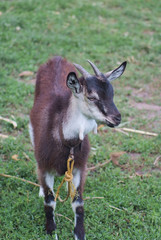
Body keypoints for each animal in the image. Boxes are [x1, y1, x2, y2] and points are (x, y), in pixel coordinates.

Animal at [29, 55, 127, 238]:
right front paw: (51, 231)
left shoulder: (79, 168)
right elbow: (49, 201)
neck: (67, 142)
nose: (116, 118)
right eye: (92, 96)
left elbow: (78, 203)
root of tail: (57, 58)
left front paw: (79, 234)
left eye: (112, 93)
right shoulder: (45, 167)